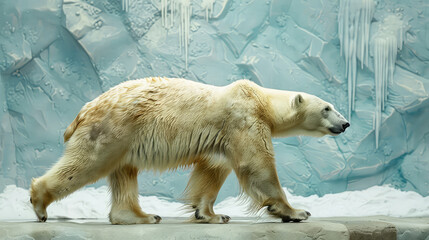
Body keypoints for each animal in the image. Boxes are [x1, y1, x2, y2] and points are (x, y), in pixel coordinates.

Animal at [28, 78, 348, 224]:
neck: (262, 100)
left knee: (124, 173)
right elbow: (257, 166)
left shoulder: (221, 139)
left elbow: (211, 171)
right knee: (85, 165)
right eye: (327, 108)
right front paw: (296, 211)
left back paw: (143, 216)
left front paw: (211, 215)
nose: (345, 123)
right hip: (112, 130)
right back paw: (39, 203)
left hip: (123, 138)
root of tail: (83, 111)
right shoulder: (243, 120)